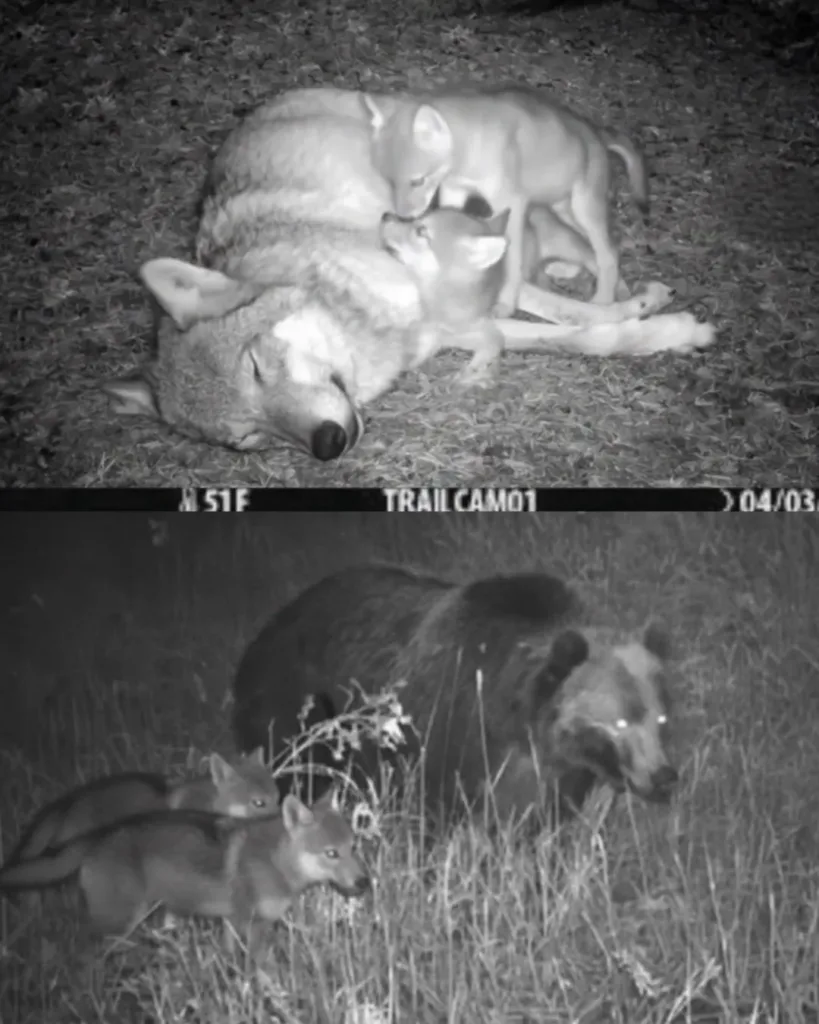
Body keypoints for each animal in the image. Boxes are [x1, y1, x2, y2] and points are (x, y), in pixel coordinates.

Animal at [0, 790, 368, 940]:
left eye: (353, 847)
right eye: (331, 854)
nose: (365, 882)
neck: (275, 863)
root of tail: (99, 835)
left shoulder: (244, 925)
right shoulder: (245, 925)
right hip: (120, 924)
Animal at [103, 86, 714, 460]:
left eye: (254, 366)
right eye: (249, 438)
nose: (327, 445)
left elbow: (577, 324)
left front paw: (664, 322)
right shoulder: (448, 323)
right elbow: (566, 333)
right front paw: (655, 325)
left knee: (583, 248)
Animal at [232, 566, 678, 825]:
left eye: (659, 718)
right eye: (619, 722)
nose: (663, 779)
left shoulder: (552, 774)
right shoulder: (445, 737)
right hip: (295, 711)